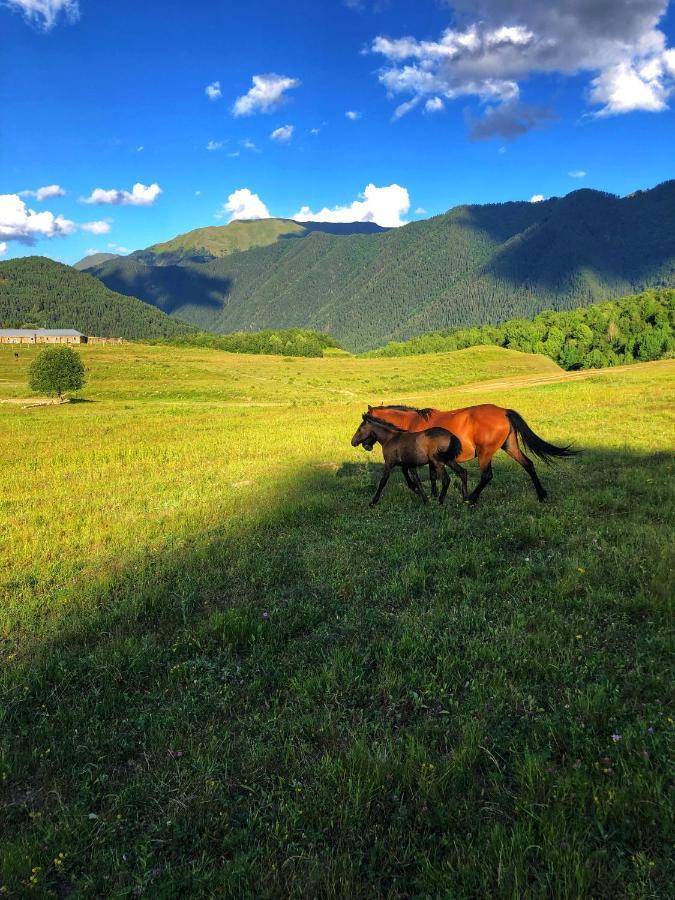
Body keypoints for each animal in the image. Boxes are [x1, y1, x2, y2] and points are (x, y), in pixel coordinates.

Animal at [364, 402, 576, 502]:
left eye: (363, 424)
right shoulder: (431, 459)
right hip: (510, 446)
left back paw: (471, 498)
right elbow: (432, 477)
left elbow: (412, 474)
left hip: (485, 453)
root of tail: (504, 411)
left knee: (487, 476)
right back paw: (541, 495)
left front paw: (421, 491)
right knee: (529, 465)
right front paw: (433, 494)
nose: (365, 445)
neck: (411, 423)